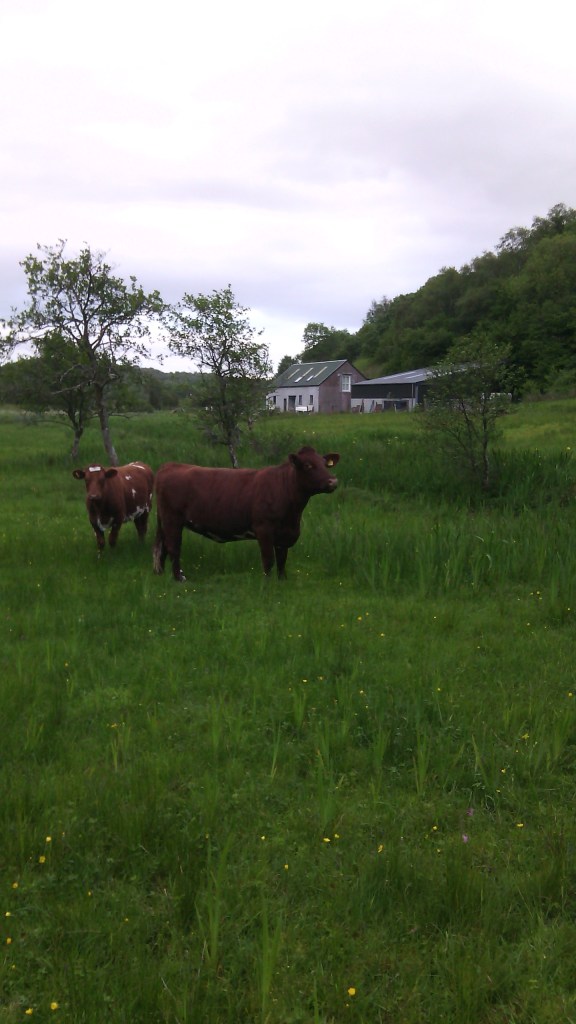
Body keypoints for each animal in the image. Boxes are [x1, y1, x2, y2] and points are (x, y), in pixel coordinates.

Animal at [153, 446, 340, 582]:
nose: (333, 481)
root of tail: (170, 465)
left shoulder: (284, 535)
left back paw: (161, 574)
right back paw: (179, 578)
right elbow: (268, 559)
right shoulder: (264, 529)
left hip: (165, 521)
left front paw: (282, 580)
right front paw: (267, 583)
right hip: (172, 520)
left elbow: (282, 559)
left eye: (325, 464)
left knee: (163, 547)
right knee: (173, 547)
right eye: (308, 465)